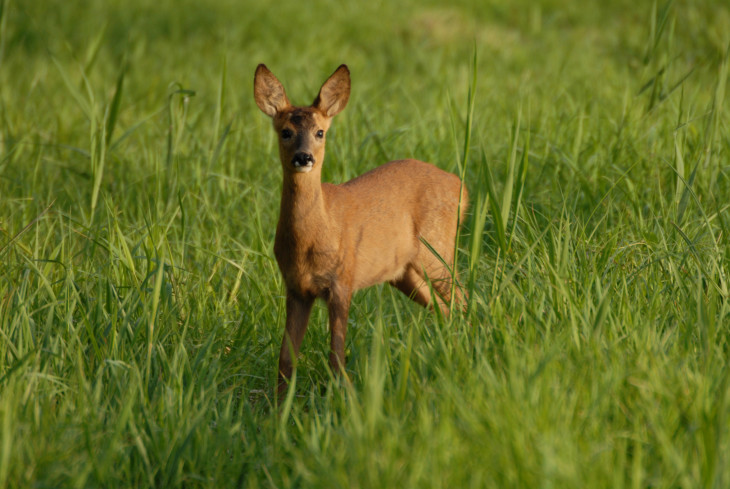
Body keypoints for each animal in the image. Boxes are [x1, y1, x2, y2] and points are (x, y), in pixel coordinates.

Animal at [252, 63, 466, 396]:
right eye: (285, 131)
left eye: (320, 132)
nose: (304, 157)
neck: (313, 236)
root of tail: (462, 187)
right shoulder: (297, 287)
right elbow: (286, 358)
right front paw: (279, 405)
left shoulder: (343, 279)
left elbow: (336, 356)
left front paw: (344, 398)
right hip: (403, 273)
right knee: (444, 308)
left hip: (437, 249)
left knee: (463, 297)